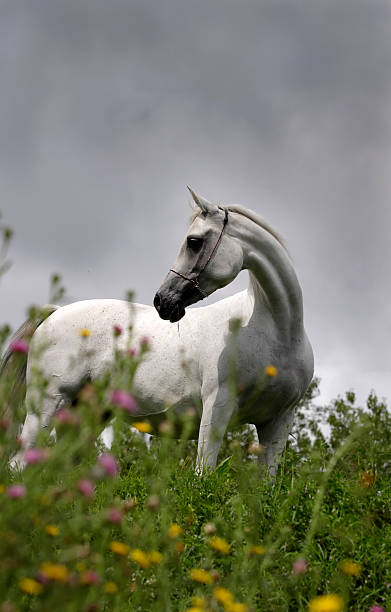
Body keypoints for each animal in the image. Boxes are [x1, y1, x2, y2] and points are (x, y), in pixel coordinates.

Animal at [3, 189, 314, 470]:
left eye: (193, 242)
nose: (162, 301)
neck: (277, 333)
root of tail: (54, 313)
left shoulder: (277, 422)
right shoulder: (218, 408)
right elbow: (203, 473)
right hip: (47, 407)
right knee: (18, 464)